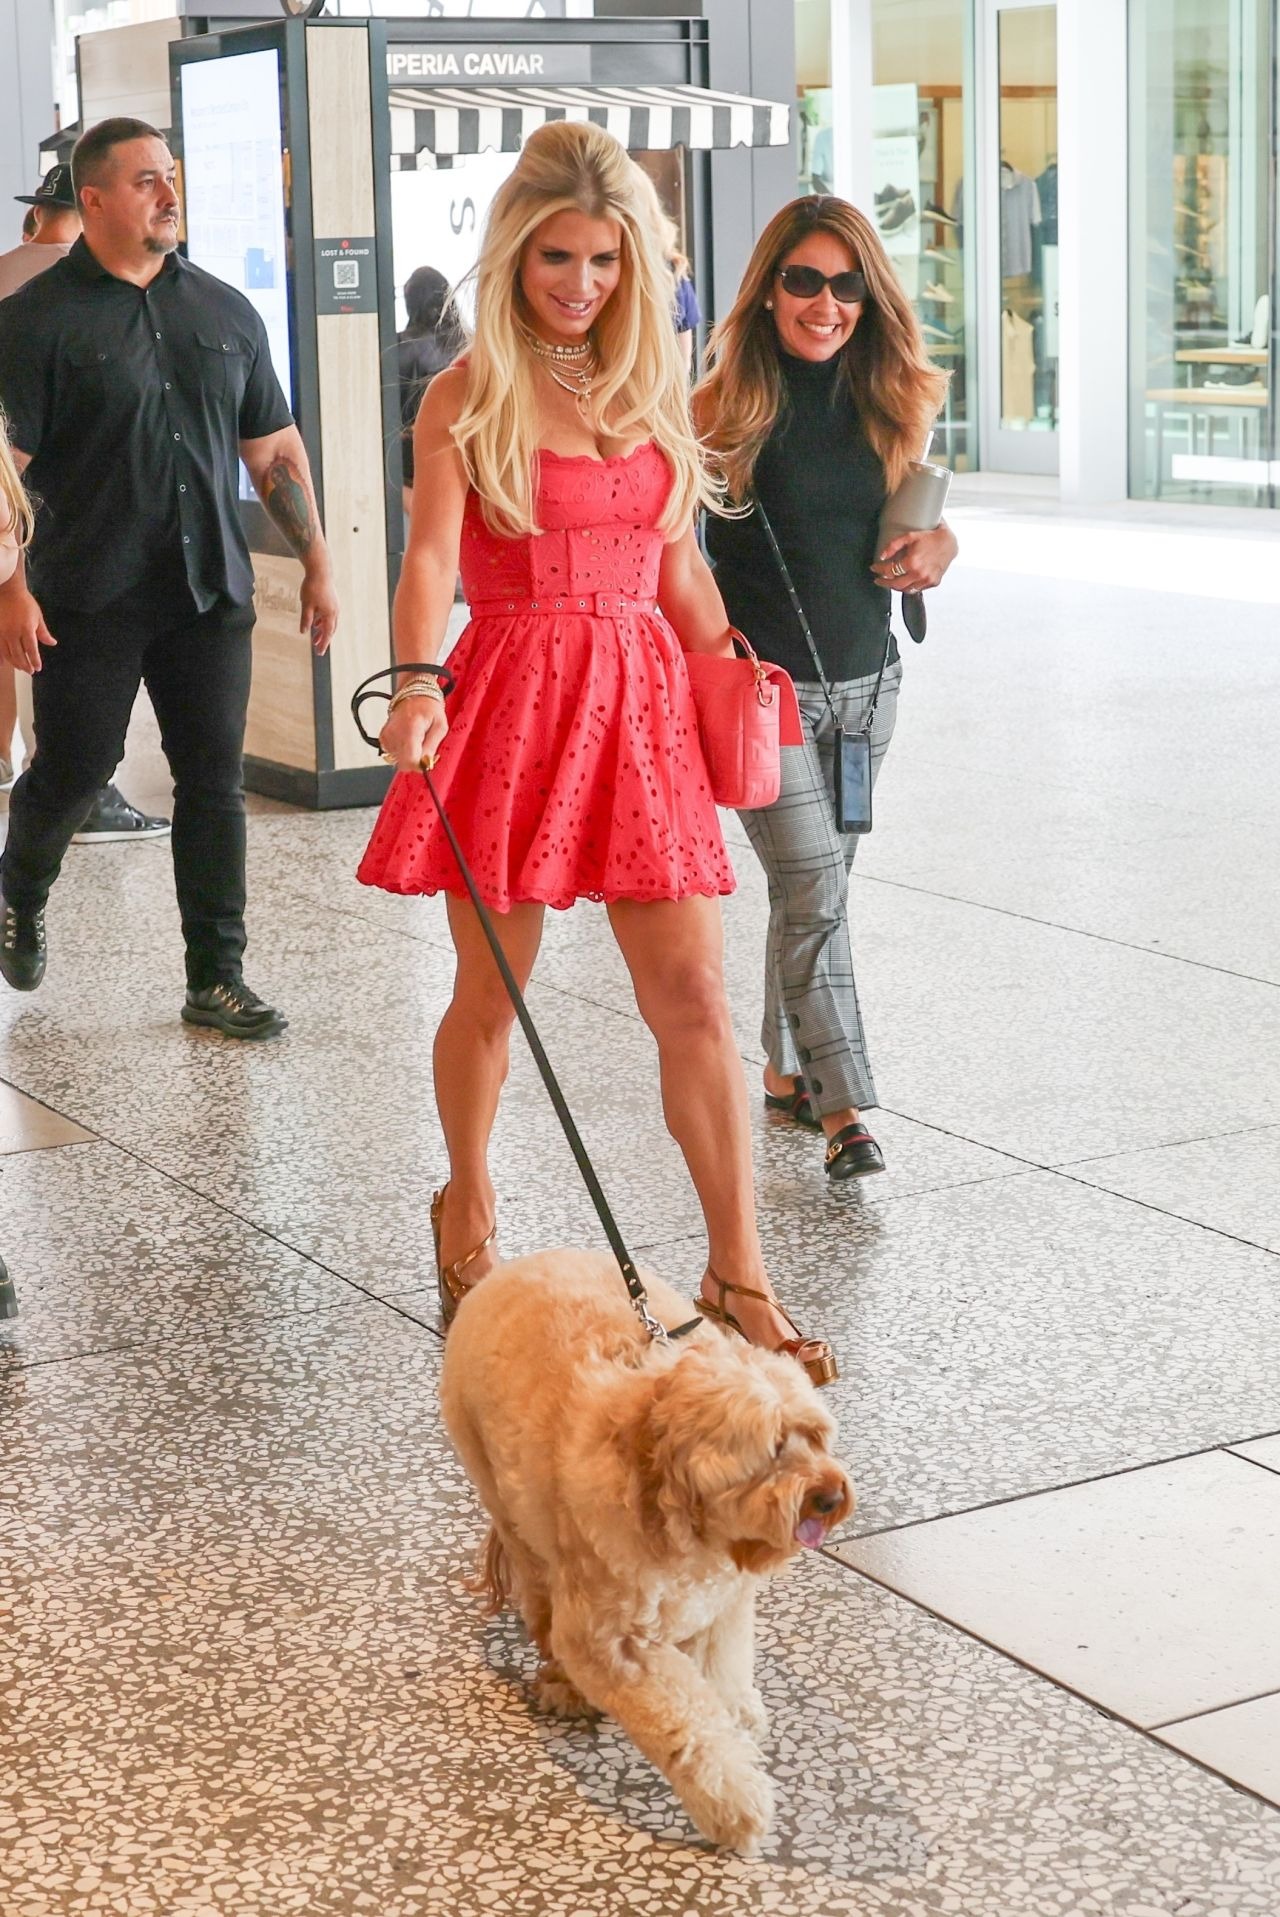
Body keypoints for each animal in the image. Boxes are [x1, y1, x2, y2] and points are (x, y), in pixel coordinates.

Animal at [436, 1249, 850, 1847]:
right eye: (772, 1448)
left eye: (815, 1436)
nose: (831, 1496)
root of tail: (511, 1268)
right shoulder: (613, 1642)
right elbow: (689, 1724)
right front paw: (733, 1800)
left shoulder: (722, 1609)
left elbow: (723, 1676)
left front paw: (739, 1717)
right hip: (509, 1508)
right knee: (539, 1600)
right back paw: (562, 1680)